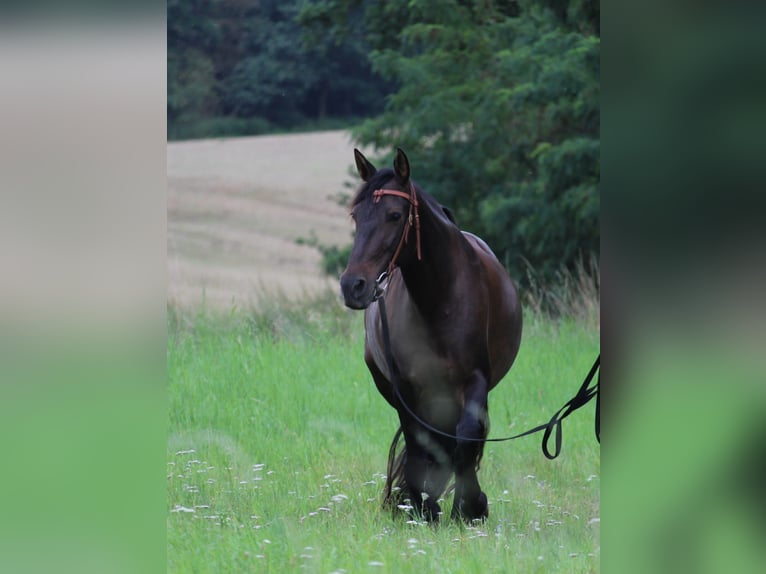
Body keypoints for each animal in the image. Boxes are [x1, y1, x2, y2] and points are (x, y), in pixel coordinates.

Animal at [340, 148, 523, 523]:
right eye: (355, 215)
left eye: (395, 215)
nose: (353, 286)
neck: (439, 300)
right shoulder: (406, 388)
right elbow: (420, 442)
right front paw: (421, 505)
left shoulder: (475, 380)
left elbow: (466, 438)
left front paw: (469, 507)